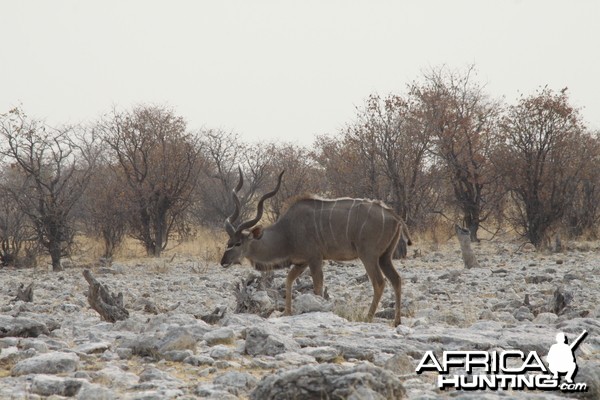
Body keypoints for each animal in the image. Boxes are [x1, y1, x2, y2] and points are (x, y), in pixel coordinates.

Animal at [220, 169, 412, 324]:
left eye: (238, 243)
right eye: (228, 242)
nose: (223, 261)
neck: (287, 232)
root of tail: (394, 216)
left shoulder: (314, 259)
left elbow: (318, 286)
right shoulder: (301, 262)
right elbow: (289, 280)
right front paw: (286, 312)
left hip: (368, 255)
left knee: (379, 282)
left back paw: (368, 317)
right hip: (385, 257)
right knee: (396, 279)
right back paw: (397, 321)